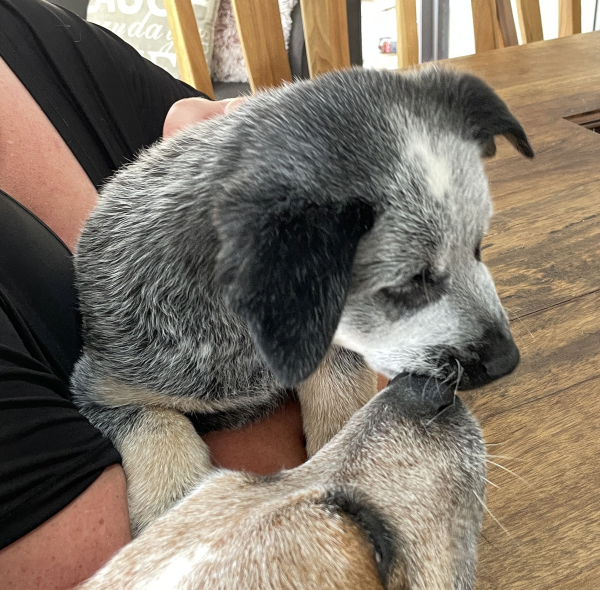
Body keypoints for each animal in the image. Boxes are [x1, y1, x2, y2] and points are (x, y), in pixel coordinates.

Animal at [68, 66, 532, 536]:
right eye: (410, 282)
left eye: (477, 247)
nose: (507, 361)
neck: (250, 350)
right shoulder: (105, 388)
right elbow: (162, 436)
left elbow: (342, 411)